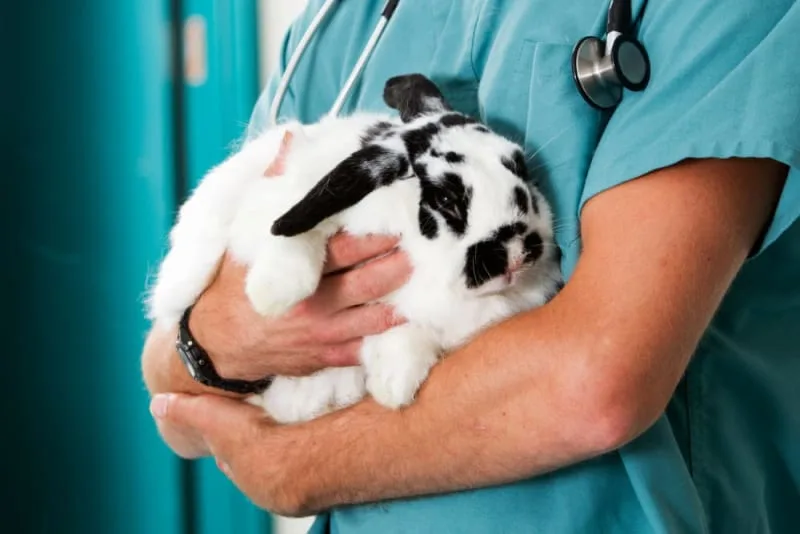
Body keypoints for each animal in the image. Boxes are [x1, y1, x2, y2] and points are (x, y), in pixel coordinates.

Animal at [146, 73, 563, 424]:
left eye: (521, 168)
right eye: (446, 198)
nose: (514, 253)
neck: (427, 264)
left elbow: (406, 333)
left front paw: (394, 386)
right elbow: (295, 235)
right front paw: (273, 296)